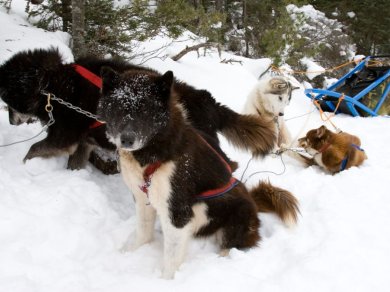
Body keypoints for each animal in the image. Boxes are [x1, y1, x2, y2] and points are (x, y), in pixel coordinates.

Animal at [0, 48, 274, 171]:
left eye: (6, 102)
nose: (11, 122)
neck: (54, 85)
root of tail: (209, 102)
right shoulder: (83, 142)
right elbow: (74, 161)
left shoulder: (63, 136)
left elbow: (33, 150)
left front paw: (23, 167)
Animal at [96, 67, 298, 280]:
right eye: (119, 108)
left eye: (146, 111)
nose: (127, 139)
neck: (155, 152)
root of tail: (252, 200)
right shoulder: (143, 198)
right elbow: (143, 232)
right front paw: (130, 252)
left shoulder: (177, 211)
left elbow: (171, 259)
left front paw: (166, 281)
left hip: (235, 214)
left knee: (232, 245)